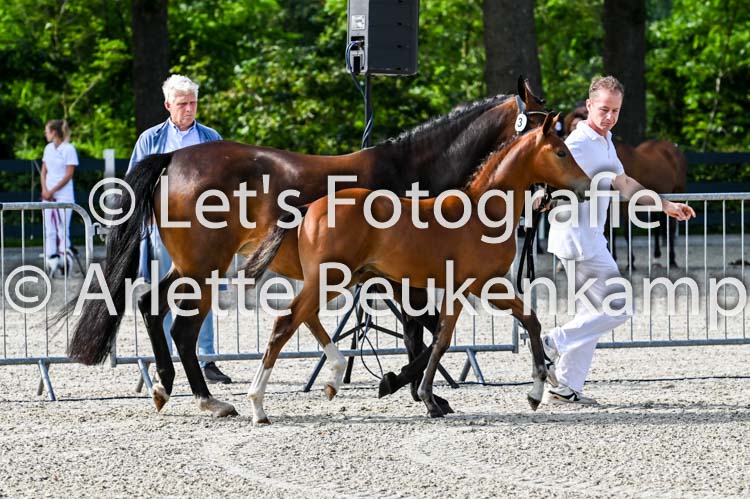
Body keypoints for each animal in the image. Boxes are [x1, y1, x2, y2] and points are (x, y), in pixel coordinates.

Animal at [64, 78, 549, 418]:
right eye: (548, 124)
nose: (546, 197)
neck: (412, 171)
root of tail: (173, 159)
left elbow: (424, 332)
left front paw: (413, 388)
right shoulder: (404, 278)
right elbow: (424, 332)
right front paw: (405, 386)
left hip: (191, 266)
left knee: (151, 305)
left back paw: (166, 385)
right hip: (205, 268)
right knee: (181, 327)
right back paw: (208, 398)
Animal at [245, 113, 591, 423]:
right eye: (561, 151)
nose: (586, 186)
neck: (483, 212)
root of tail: (308, 208)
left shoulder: (479, 286)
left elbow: (524, 320)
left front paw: (535, 392)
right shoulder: (472, 285)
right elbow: (442, 340)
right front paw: (428, 399)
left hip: (337, 279)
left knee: (305, 317)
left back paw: (331, 380)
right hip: (329, 277)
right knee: (286, 323)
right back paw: (258, 406)